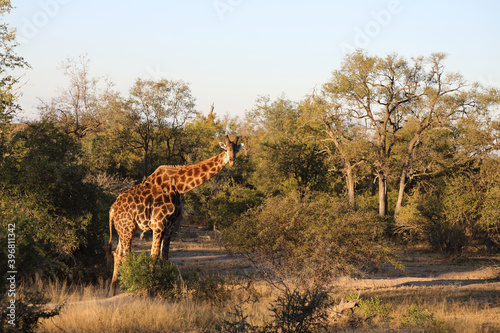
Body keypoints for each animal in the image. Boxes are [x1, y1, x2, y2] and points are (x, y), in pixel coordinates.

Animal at [106, 134, 243, 294]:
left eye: (236, 150)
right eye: (226, 149)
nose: (232, 161)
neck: (178, 186)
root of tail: (112, 209)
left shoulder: (170, 225)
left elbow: (165, 256)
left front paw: (165, 287)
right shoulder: (158, 224)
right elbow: (154, 256)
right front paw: (149, 290)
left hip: (124, 228)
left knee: (118, 253)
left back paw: (112, 292)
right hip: (128, 228)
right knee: (126, 255)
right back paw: (130, 287)